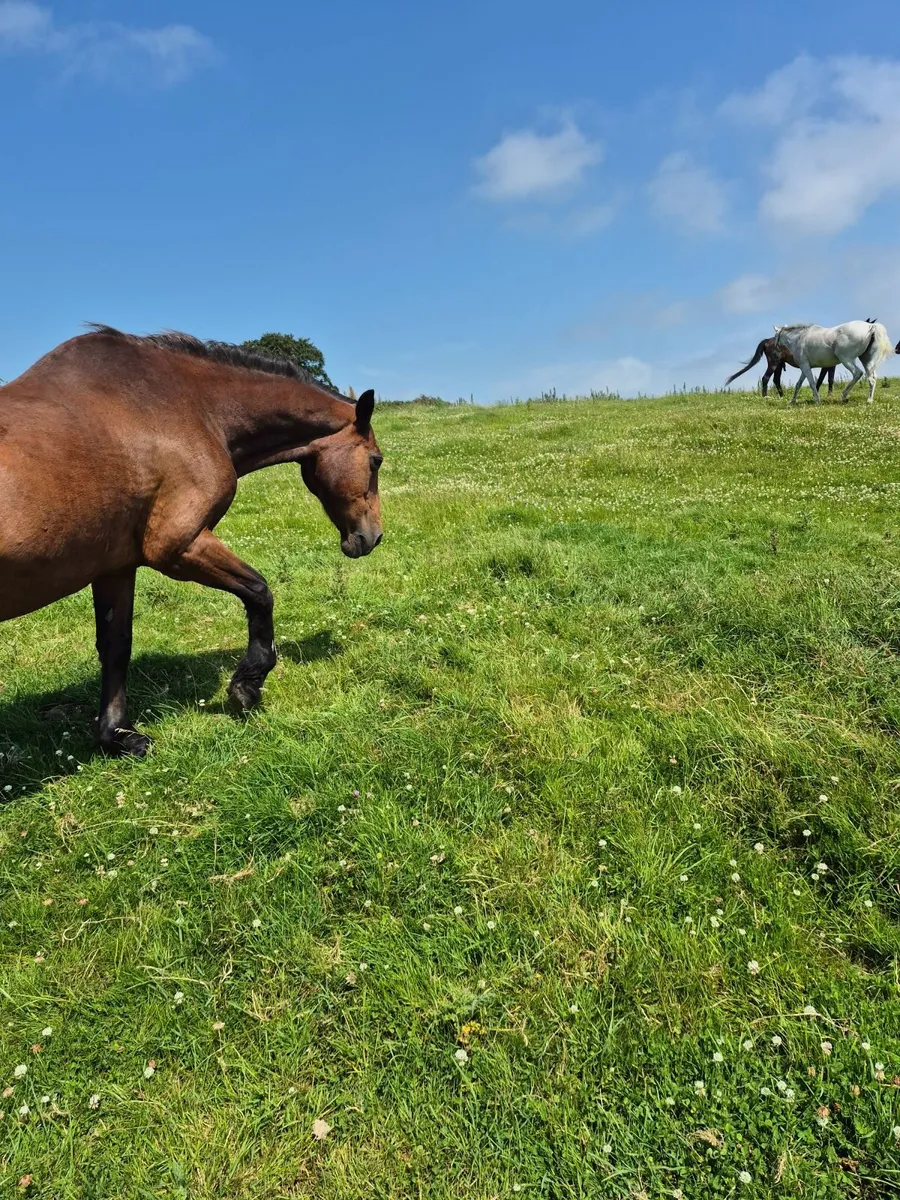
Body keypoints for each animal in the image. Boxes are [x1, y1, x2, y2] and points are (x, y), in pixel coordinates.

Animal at [0, 326, 383, 756]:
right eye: (376, 461)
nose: (372, 536)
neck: (187, 407)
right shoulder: (178, 547)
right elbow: (260, 592)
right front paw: (247, 685)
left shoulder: (116, 567)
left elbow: (116, 646)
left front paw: (118, 735)